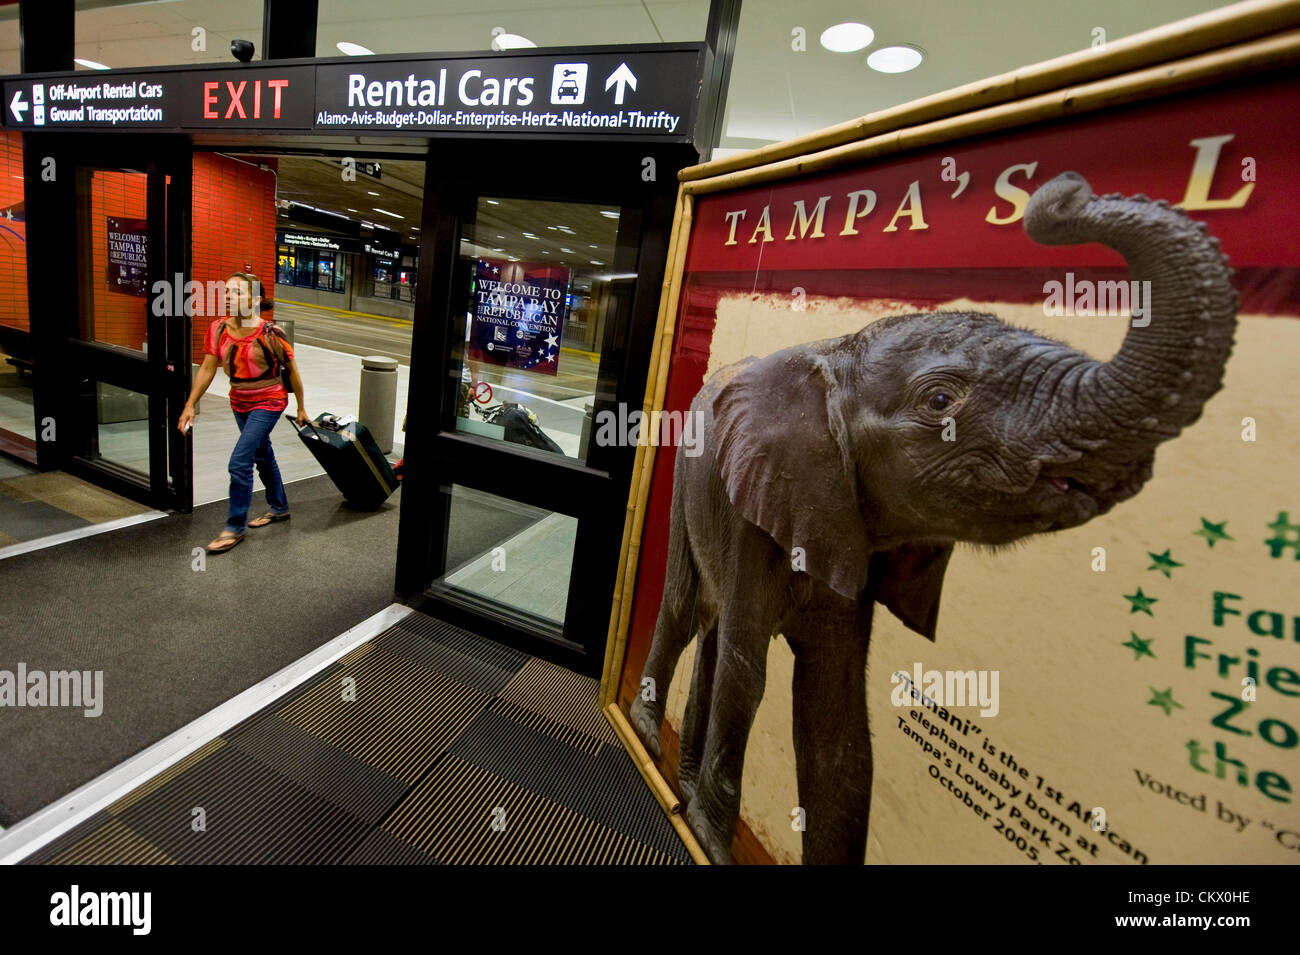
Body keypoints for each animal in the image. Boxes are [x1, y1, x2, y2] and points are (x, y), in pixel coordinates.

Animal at [629, 171, 1237, 867]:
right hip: (686, 489)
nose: (1065, 192)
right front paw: (708, 841)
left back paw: (676, 776)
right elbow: (747, 671)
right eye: (940, 400)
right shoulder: (760, 506)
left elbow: (834, 716)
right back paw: (648, 740)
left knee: (713, 628)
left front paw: (709, 823)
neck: (836, 351)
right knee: (690, 609)